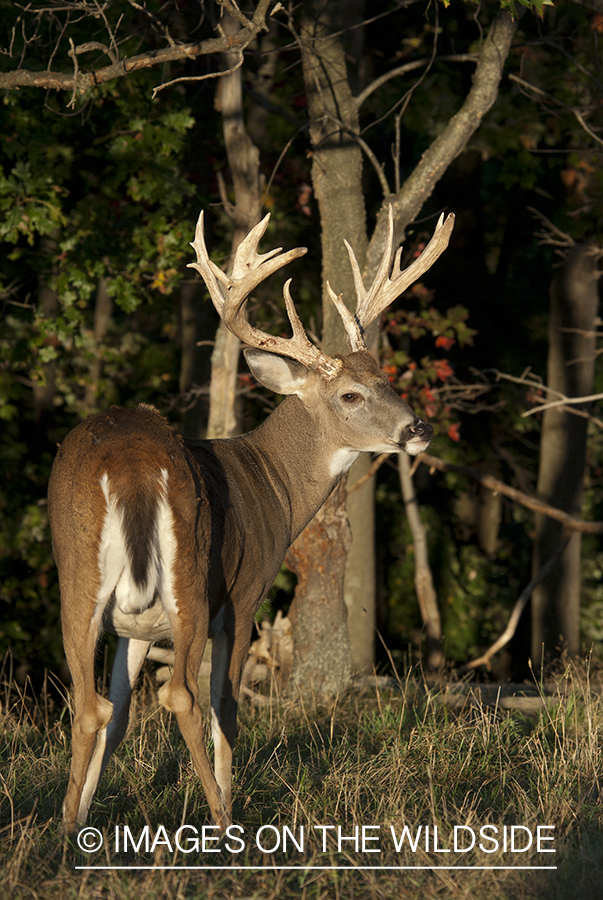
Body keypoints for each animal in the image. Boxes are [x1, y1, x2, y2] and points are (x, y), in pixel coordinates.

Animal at [48, 207, 452, 832]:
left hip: (79, 578)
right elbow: (226, 710)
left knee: (91, 705)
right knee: (182, 696)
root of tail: (131, 464)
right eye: (351, 395)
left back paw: (66, 833)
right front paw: (228, 805)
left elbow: (118, 720)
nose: (419, 429)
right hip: (192, 577)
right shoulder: (245, 597)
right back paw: (222, 822)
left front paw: (81, 818)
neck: (273, 487)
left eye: (385, 376)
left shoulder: (135, 628)